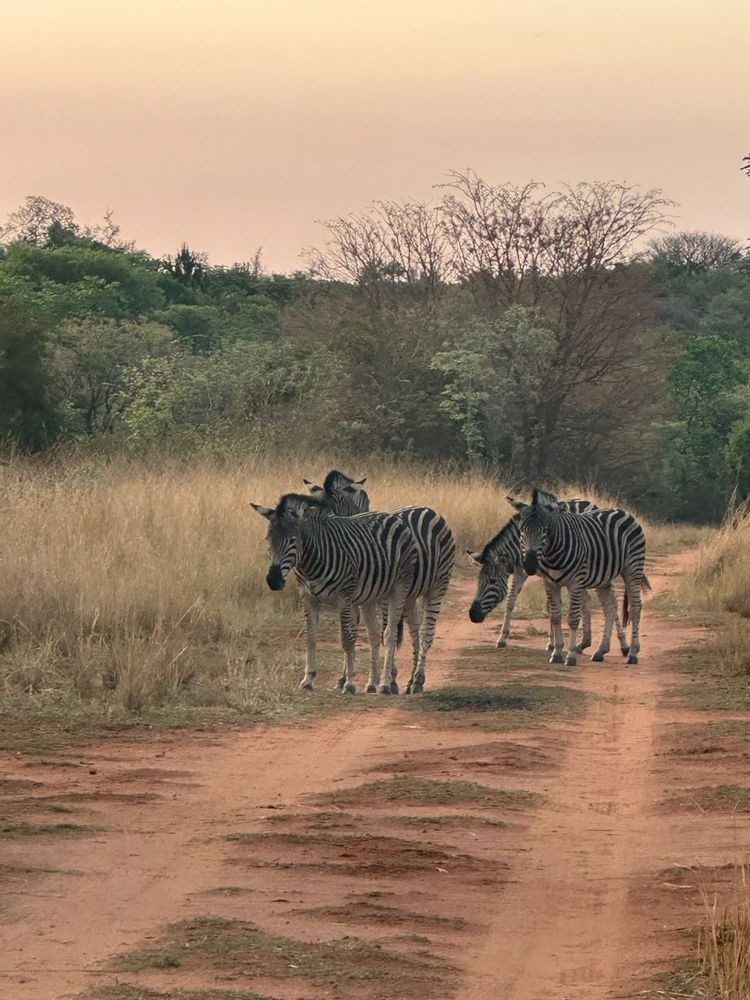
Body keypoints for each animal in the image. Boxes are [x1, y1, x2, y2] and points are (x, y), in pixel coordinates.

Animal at [251, 494, 417, 695]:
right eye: (268, 539)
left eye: (293, 540)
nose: (273, 580)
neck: (310, 563)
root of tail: (393, 517)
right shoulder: (307, 597)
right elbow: (310, 637)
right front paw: (307, 680)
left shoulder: (343, 597)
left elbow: (347, 639)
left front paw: (349, 683)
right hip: (370, 595)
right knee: (375, 633)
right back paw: (372, 684)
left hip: (398, 587)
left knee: (389, 633)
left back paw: (386, 684)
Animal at [303, 471, 456, 694]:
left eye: (331, 512)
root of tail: (427, 509)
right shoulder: (357, 597)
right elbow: (360, 631)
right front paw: (348, 678)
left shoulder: (381, 596)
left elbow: (384, 632)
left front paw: (387, 679)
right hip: (411, 595)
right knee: (415, 629)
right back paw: (411, 680)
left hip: (437, 585)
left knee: (426, 631)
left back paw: (417, 680)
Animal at [518, 488, 649, 666]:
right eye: (522, 530)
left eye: (545, 530)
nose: (530, 565)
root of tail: (624, 512)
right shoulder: (550, 582)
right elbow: (555, 614)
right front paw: (557, 651)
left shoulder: (573, 581)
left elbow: (571, 616)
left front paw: (569, 654)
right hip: (603, 576)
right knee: (609, 607)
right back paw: (601, 650)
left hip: (632, 568)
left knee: (635, 608)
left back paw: (633, 652)